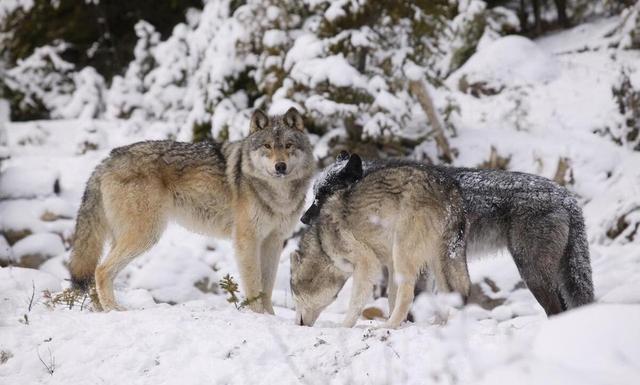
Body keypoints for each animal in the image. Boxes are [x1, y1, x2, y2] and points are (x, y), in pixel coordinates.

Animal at [69, 107, 316, 312]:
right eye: (267, 146)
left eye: (288, 145)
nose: (280, 166)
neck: (277, 194)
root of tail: (108, 159)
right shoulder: (247, 240)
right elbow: (254, 287)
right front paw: (259, 318)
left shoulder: (274, 240)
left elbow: (267, 288)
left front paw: (271, 317)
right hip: (145, 235)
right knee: (101, 270)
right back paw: (114, 310)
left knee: (99, 272)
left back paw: (101, 309)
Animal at [290, 153, 470, 328]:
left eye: (293, 293)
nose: (297, 324)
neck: (322, 243)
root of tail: (451, 191)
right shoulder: (389, 265)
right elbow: (391, 298)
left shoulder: (368, 263)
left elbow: (356, 304)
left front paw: (343, 328)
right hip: (437, 263)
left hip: (403, 254)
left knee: (408, 296)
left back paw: (388, 326)